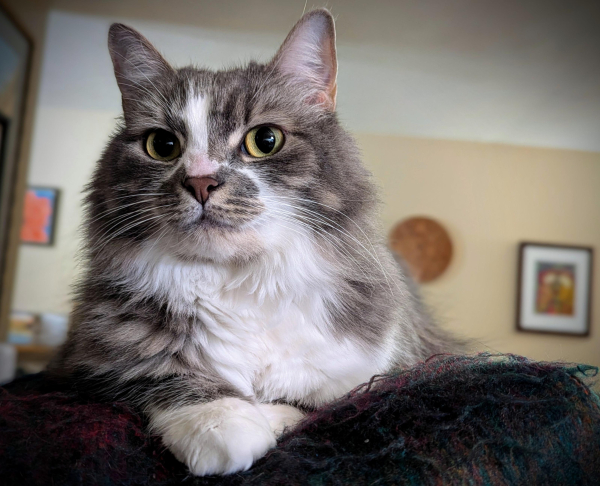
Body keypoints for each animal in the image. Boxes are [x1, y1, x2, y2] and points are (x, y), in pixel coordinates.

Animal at [49, 7, 460, 476]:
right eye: (162, 145)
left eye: (265, 140)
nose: (200, 181)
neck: (242, 283)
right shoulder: (82, 363)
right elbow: (159, 376)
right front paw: (224, 424)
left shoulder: (398, 366)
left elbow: (321, 402)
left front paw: (270, 416)